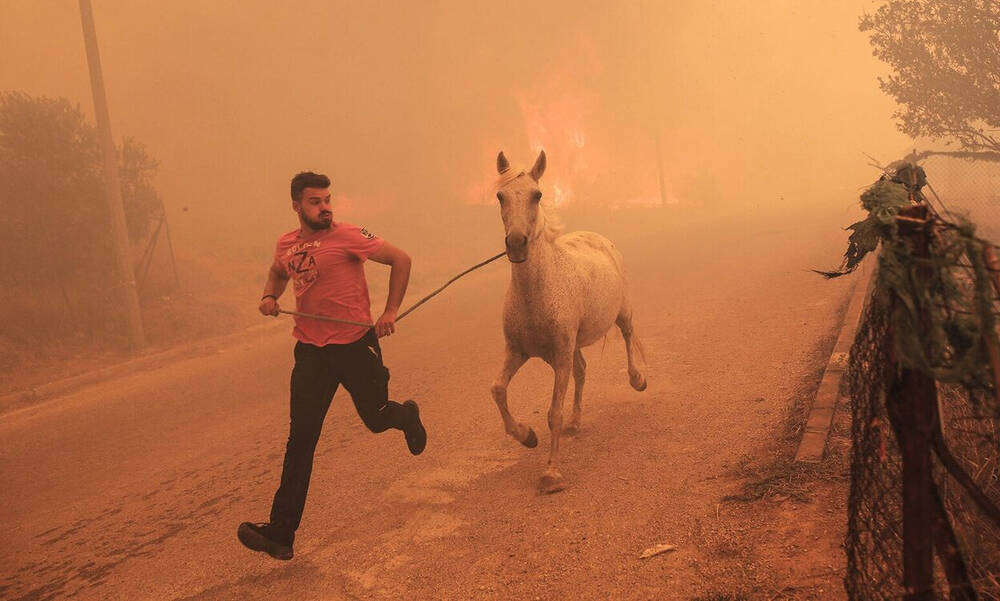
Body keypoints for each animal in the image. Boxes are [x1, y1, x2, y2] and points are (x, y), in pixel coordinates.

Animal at [492, 150, 648, 492]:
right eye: (500, 196)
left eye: (536, 195)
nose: (517, 243)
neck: (537, 293)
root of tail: (599, 238)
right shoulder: (517, 352)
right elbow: (497, 390)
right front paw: (526, 436)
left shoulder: (560, 355)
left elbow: (553, 413)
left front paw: (551, 474)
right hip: (572, 346)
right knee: (582, 370)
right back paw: (576, 422)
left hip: (622, 313)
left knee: (628, 337)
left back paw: (638, 379)